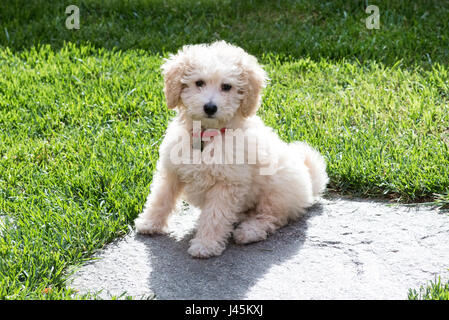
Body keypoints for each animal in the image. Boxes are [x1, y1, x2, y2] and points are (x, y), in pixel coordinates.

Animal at [134, 41, 328, 258]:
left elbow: (215, 216)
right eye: (199, 83)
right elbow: (161, 197)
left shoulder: (227, 183)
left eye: (226, 87)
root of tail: (311, 184)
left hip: (277, 190)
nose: (210, 107)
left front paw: (205, 245)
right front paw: (149, 223)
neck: (207, 136)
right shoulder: (172, 171)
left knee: (271, 216)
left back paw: (249, 231)